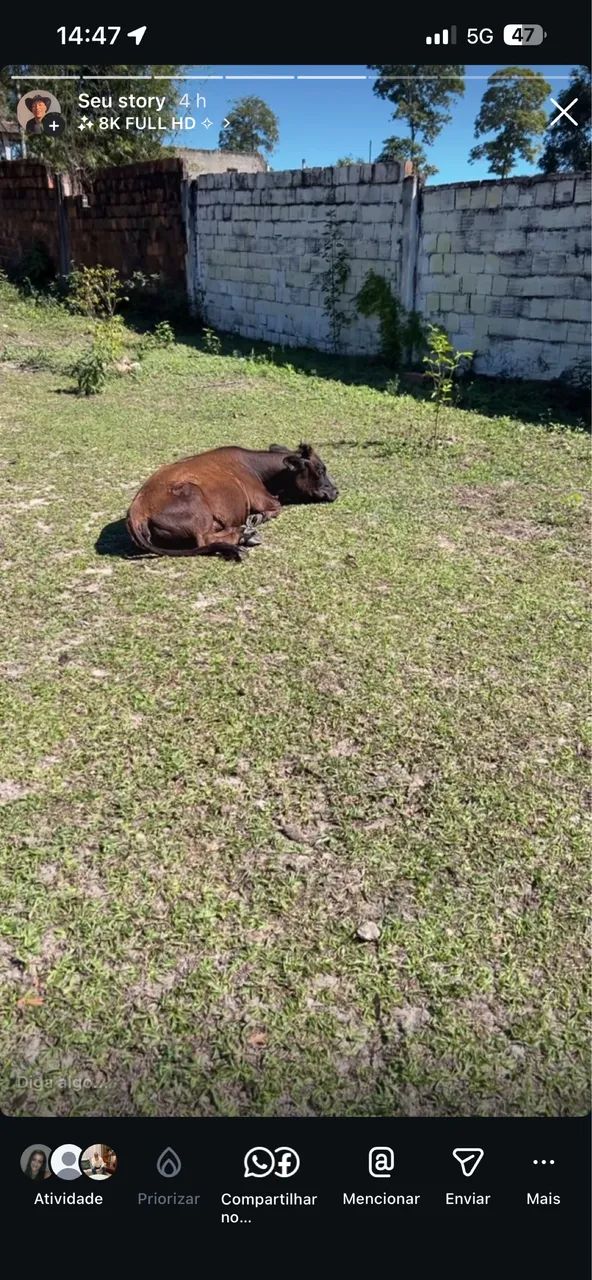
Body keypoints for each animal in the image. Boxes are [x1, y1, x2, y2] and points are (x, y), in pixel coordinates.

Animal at [126, 442, 339, 561]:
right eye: (320, 469)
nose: (335, 491)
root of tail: (136, 511)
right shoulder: (262, 499)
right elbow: (275, 509)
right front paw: (255, 519)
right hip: (194, 498)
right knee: (204, 539)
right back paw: (246, 534)